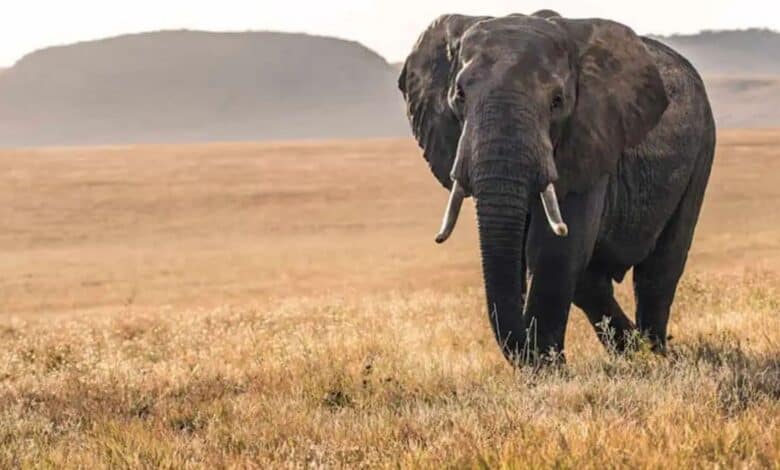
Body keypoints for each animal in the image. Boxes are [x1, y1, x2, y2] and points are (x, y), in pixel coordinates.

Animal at [397, 11, 716, 364]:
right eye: (459, 96)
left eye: (557, 101)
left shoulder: (589, 138)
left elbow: (553, 250)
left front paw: (548, 369)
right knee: (593, 281)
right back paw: (634, 351)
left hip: (703, 147)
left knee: (659, 269)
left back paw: (655, 354)